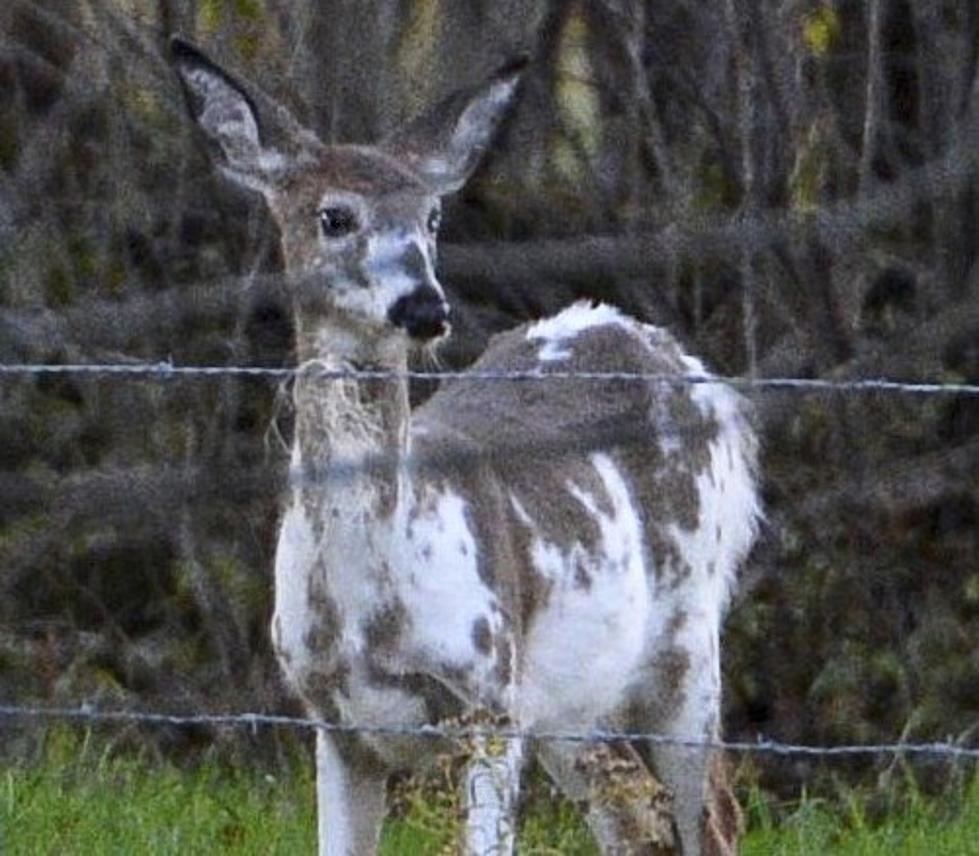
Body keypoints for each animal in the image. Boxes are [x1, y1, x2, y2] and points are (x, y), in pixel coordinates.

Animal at [172, 35, 760, 856]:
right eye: (333, 216)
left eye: (433, 215)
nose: (425, 307)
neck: (369, 606)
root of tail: (692, 369)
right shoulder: (333, 718)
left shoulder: (486, 694)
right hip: (568, 694)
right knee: (632, 817)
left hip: (686, 634)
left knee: (712, 814)